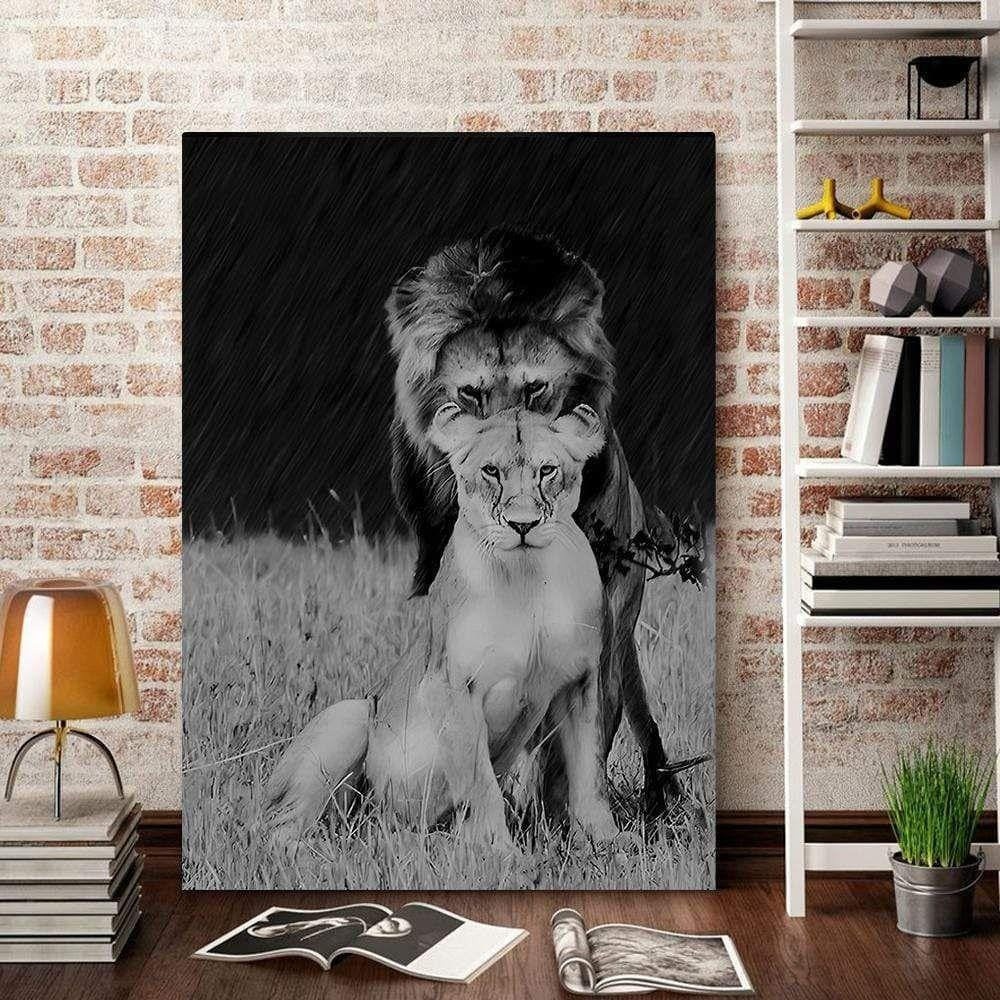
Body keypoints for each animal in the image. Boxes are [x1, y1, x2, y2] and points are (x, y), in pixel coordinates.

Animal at [266, 404, 617, 844]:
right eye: (491, 471)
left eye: (547, 470)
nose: (523, 525)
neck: (527, 576)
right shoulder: (451, 685)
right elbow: (479, 782)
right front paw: (497, 850)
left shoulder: (579, 683)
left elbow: (590, 774)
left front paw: (609, 844)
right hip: (350, 715)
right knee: (280, 825)